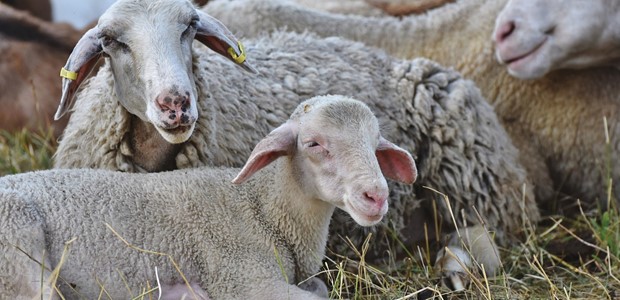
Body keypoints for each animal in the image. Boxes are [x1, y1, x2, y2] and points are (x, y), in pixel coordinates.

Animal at [0, 95, 418, 300]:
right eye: (314, 144)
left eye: (374, 144)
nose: (375, 196)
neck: (264, 207)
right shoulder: (242, 278)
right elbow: (317, 298)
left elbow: (319, 288)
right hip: (17, 246)